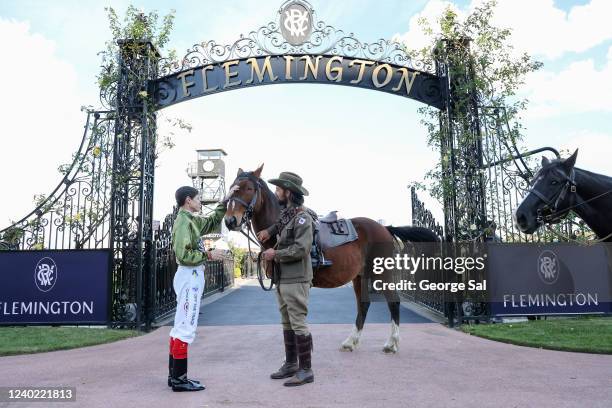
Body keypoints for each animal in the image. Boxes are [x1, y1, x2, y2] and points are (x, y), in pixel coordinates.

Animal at [225, 164, 440, 352]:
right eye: (231, 188)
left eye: (249, 188)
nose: (230, 220)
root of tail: (385, 228)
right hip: (360, 277)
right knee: (363, 305)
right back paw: (351, 341)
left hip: (382, 274)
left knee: (393, 302)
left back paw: (392, 343)